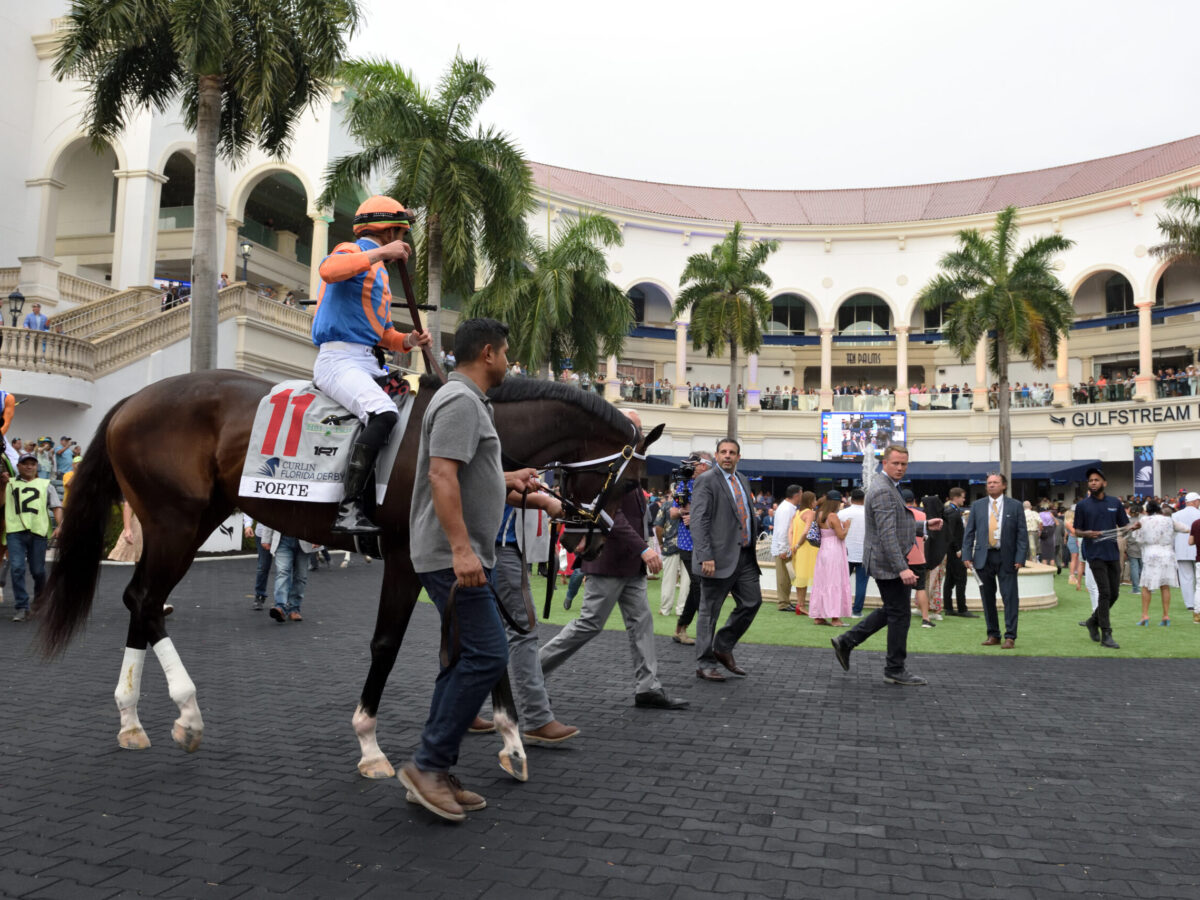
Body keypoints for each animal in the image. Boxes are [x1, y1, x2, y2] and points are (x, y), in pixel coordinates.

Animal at [39, 369, 657, 787]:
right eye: (631, 484)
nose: (587, 543)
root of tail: (130, 400)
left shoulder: (454, 562)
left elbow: (475, 646)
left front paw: (507, 741)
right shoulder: (408, 558)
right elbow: (387, 643)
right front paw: (371, 746)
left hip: (186, 521)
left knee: (139, 599)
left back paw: (131, 717)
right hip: (175, 523)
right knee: (146, 599)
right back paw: (186, 713)